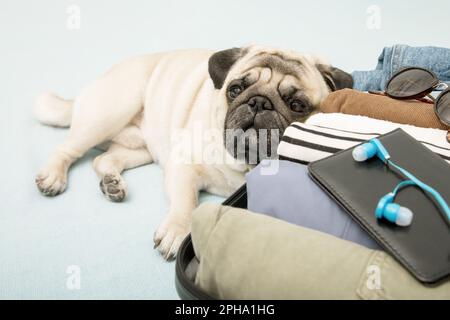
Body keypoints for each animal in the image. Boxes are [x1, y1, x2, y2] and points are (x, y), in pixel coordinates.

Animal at [34, 45, 352, 260]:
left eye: (297, 105)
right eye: (235, 89)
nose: (259, 102)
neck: (245, 162)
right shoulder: (183, 165)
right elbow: (186, 203)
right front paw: (177, 231)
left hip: (140, 147)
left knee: (104, 158)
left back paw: (112, 182)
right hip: (109, 111)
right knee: (66, 148)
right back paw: (53, 176)